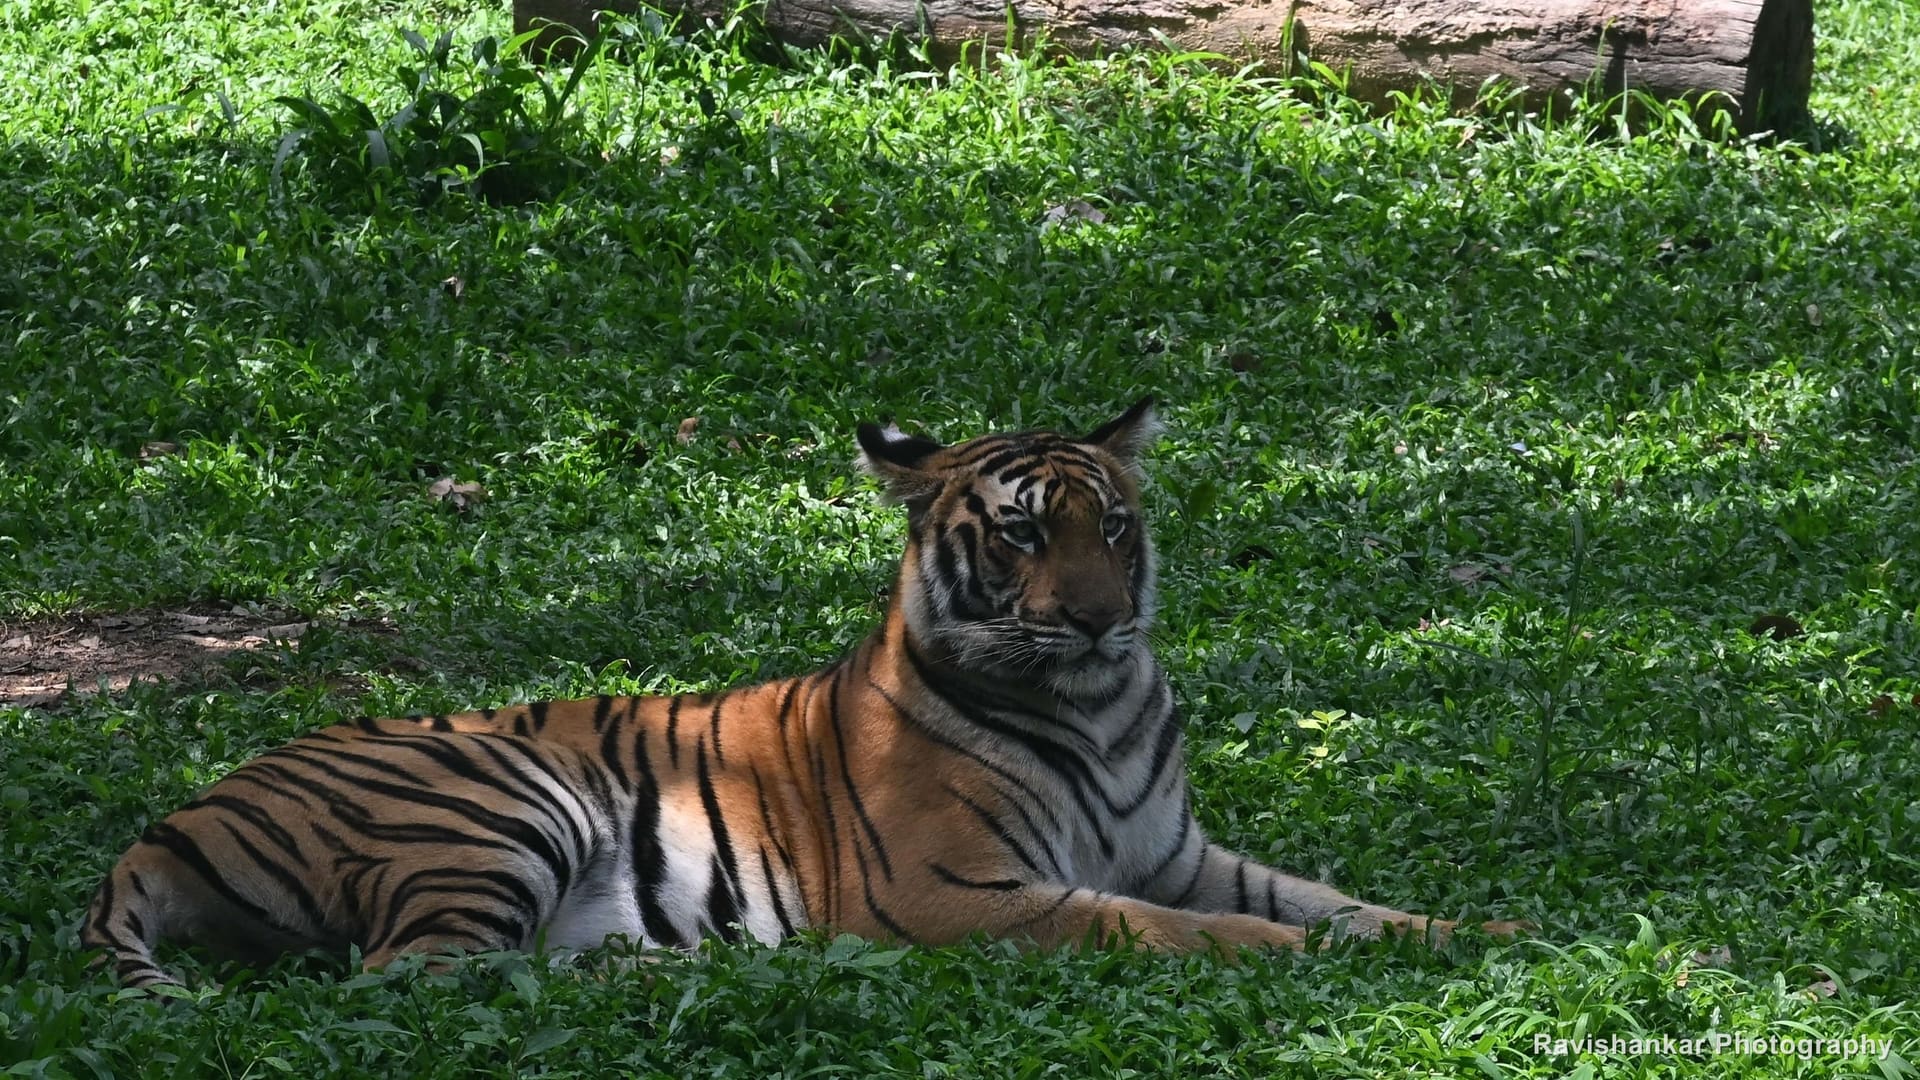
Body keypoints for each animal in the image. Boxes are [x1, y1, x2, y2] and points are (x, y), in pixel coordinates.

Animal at [83, 398, 1527, 989]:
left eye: (1112, 528)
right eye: (1020, 534)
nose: (1100, 619)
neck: (1097, 708)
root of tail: (174, 817)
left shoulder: (1178, 850)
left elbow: (1337, 901)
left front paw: (1487, 936)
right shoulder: (959, 894)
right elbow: (1174, 932)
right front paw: (1299, 965)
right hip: (502, 802)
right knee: (414, 976)